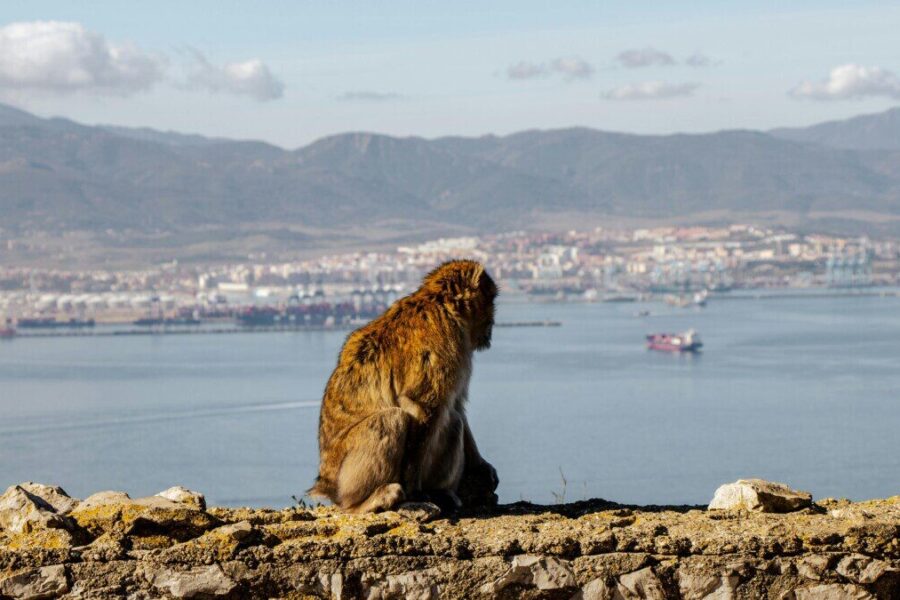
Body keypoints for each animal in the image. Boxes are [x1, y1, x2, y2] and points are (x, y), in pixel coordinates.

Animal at [308, 259, 499, 513]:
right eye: (491, 299)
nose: (493, 321)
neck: (442, 306)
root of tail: (326, 483)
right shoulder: (446, 348)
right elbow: (422, 407)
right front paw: (415, 490)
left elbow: (457, 405)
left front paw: (481, 466)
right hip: (345, 476)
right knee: (390, 419)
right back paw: (365, 502)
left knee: (453, 421)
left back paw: (442, 492)